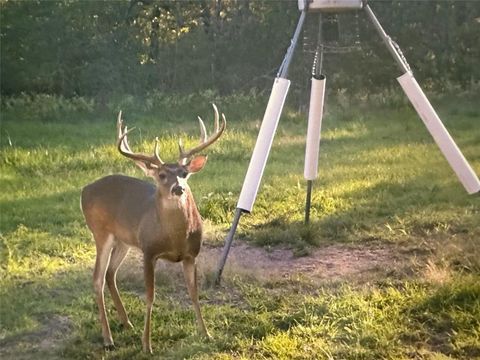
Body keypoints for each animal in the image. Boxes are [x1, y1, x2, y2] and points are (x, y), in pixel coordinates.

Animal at [80, 105, 225, 352]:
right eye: (162, 175)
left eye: (184, 173)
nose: (178, 188)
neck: (175, 238)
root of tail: (84, 190)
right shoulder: (148, 251)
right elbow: (150, 296)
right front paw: (147, 345)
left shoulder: (191, 255)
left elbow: (194, 293)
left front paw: (206, 334)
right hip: (100, 232)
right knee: (97, 278)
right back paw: (108, 339)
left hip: (124, 240)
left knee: (110, 273)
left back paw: (127, 323)